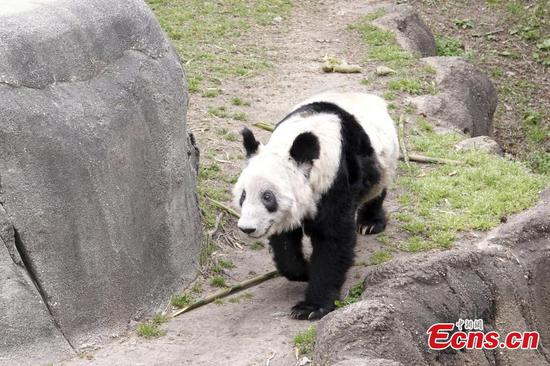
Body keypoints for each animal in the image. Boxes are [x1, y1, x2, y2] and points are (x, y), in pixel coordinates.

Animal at [234, 92, 402, 320]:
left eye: (267, 197)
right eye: (243, 195)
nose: (247, 228)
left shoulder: (335, 179)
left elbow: (332, 239)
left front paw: (311, 307)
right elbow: (285, 244)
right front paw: (304, 271)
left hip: (383, 159)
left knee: (377, 188)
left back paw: (370, 223)